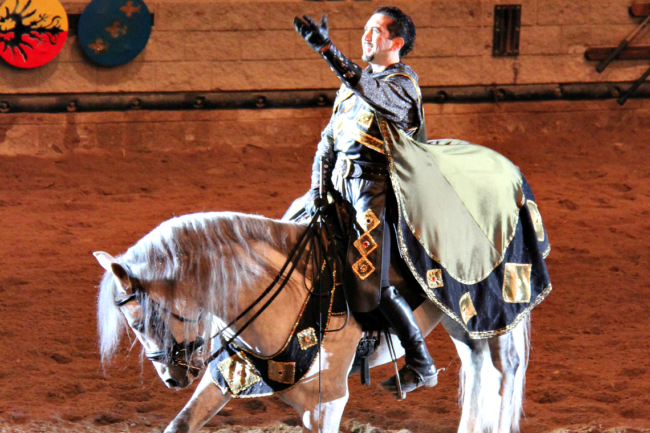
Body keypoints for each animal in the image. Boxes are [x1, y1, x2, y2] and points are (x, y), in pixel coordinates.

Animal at [93, 211, 528, 430]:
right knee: (478, 368)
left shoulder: (326, 403)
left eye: (143, 322)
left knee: (504, 370)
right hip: (460, 321)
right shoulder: (225, 378)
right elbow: (180, 424)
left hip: (490, 313)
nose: (172, 378)